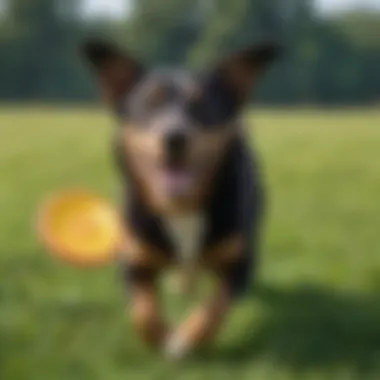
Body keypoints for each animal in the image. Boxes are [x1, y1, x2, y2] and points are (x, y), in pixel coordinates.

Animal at [81, 40, 280, 360]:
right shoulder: (133, 257)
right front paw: (162, 337)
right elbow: (142, 311)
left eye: (201, 104)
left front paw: (185, 339)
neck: (181, 207)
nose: (175, 137)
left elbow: (216, 305)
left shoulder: (240, 260)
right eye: (149, 103)